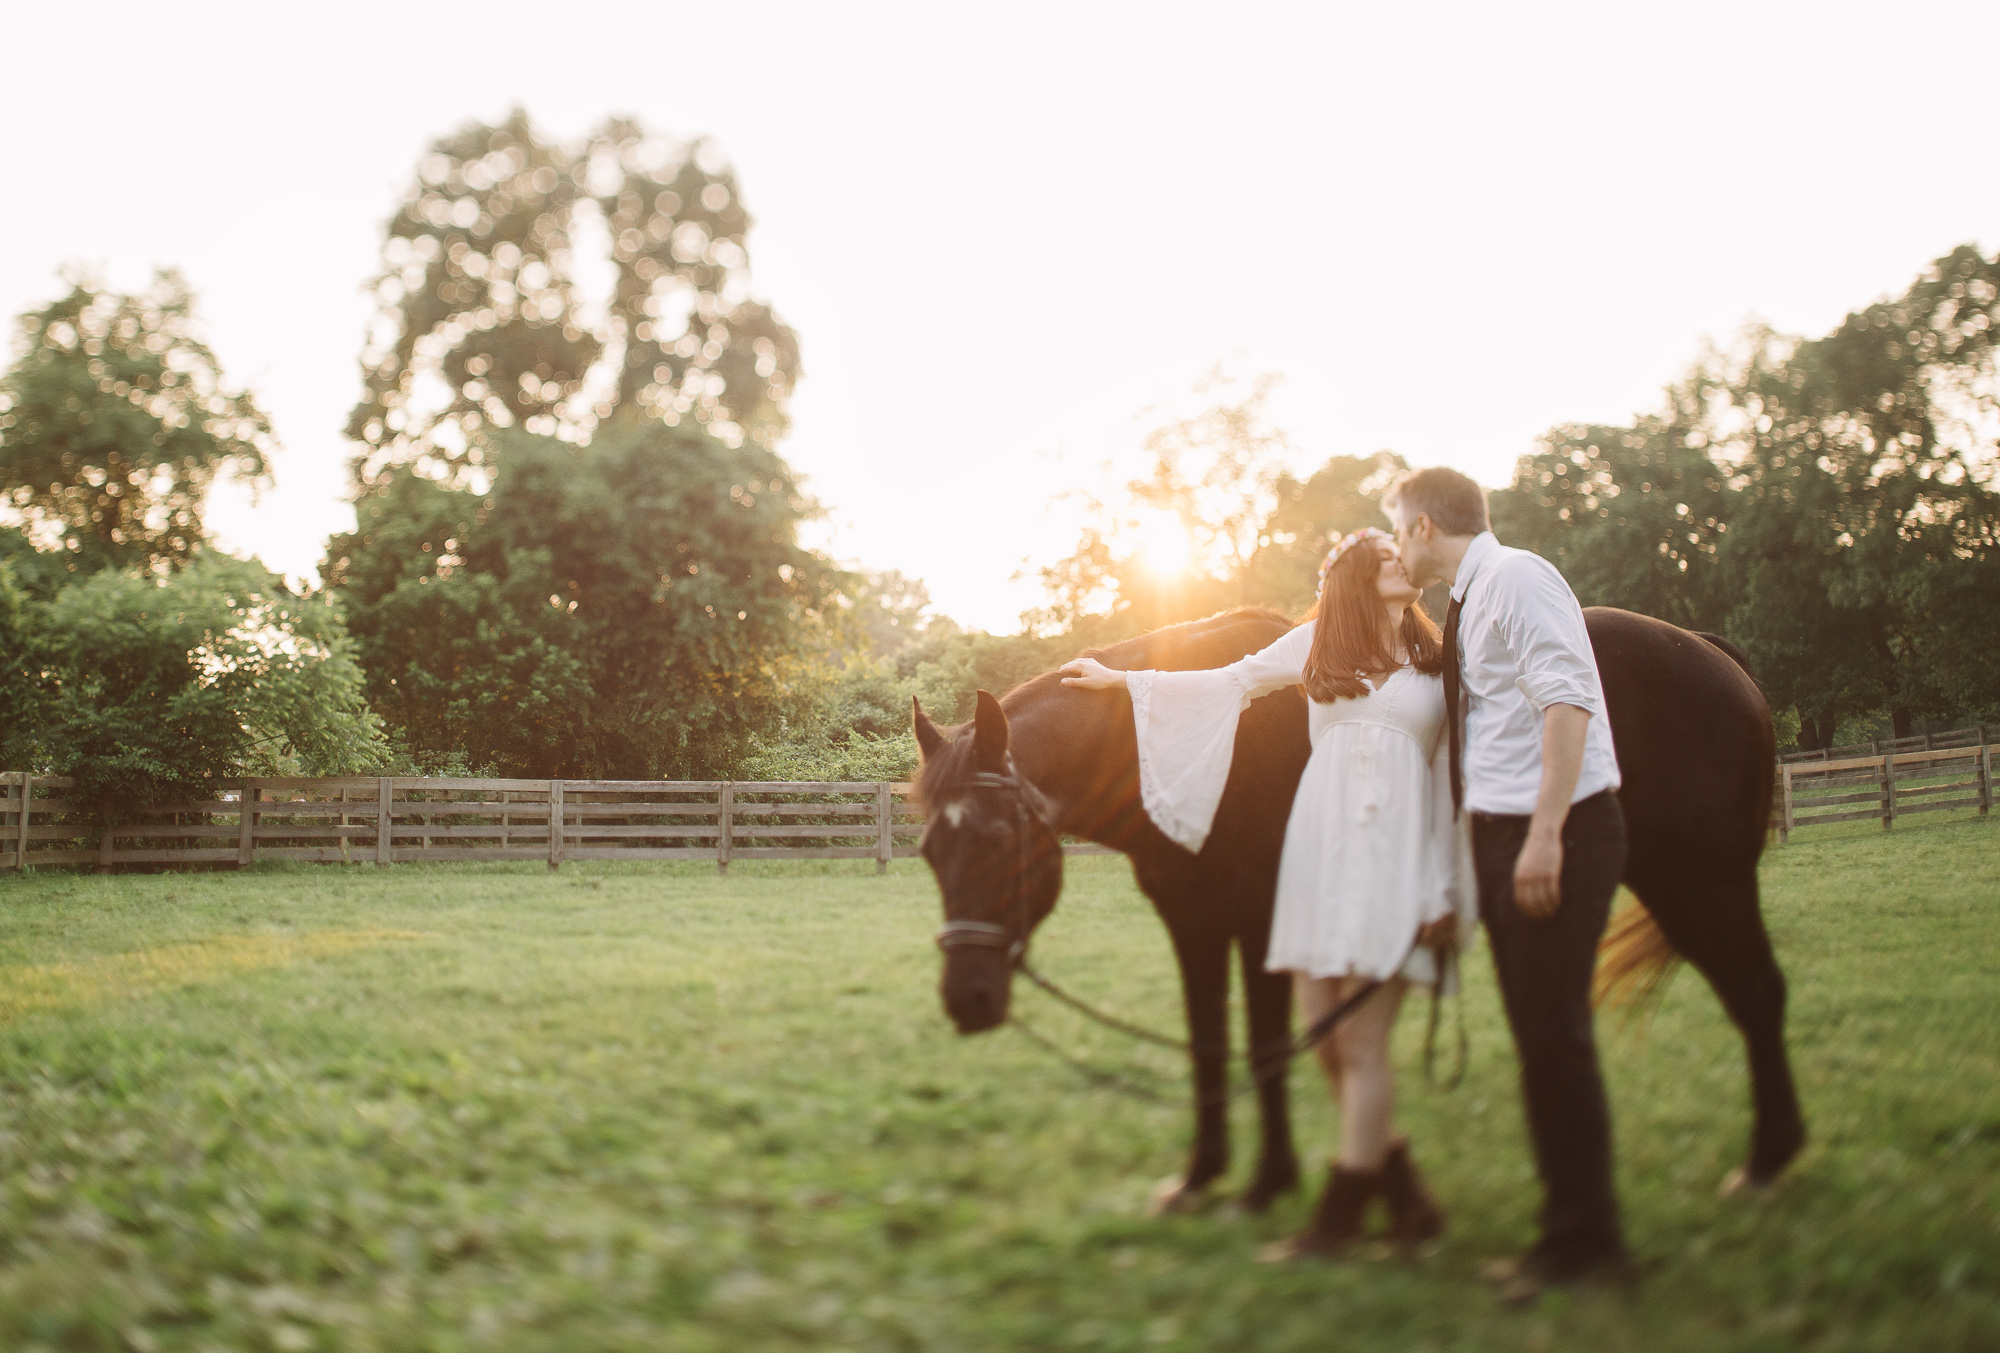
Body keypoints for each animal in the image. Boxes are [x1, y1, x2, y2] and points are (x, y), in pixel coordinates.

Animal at [911, 605, 1806, 1212]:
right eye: (928, 852)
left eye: (996, 837)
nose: (966, 1000)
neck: (1201, 747)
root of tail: (1710, 652)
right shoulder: (1194, 925)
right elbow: (1209, 1044)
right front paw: (1202, 1177)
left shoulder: (1261, 921)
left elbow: (1264, 1046)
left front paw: (1268, 1182)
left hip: (1704, 882)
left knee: (1758, 993)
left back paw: (1767, 1159)